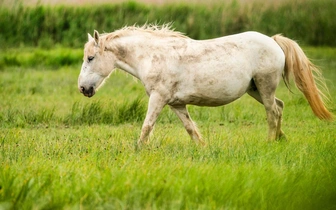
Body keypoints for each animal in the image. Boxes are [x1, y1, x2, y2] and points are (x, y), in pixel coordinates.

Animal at [79, 23, 334, 145]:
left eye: (90, 58)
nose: (83, 89)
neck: (152, 56)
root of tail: (272, 41)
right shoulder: (176, 104)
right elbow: (191, 129)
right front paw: (203, 148)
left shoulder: (158, 99)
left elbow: (146, 127)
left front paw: (138, 151)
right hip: (255, 90)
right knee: (279, 107)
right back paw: (281, 139)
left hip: (265, 86)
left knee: (272, 112)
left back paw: (270, 141)